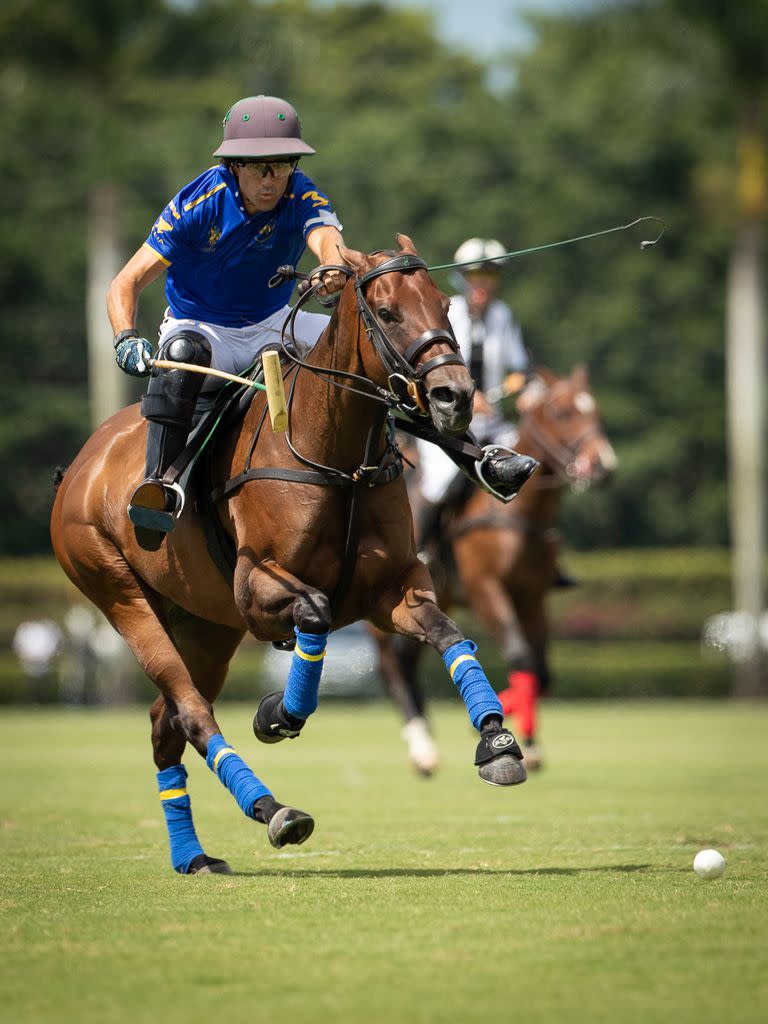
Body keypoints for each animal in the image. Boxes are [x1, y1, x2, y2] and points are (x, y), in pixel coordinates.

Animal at [49, 235, 528, 876]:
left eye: (444, 305)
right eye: (387, 312)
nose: (454, 396)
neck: (337, 456)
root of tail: (80, 465)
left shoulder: (393, 588)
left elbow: (449, 633)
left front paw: (497, 743)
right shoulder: (255, 590)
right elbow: (315, 611)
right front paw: (279, 713)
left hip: (205, 624)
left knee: (163, 724)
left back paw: (195, 856)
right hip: (118, 590)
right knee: (191, 711)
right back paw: (273, 809)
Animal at [376, 368, 618, 774]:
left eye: (597, 410)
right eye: (563, 412)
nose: (603, 466)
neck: (520, 515)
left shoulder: (532, 595)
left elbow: (541, 669)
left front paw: (526, 739)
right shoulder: (485, 587)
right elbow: (520, 654)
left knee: (406, 659)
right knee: (389, 662)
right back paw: (421, 746)